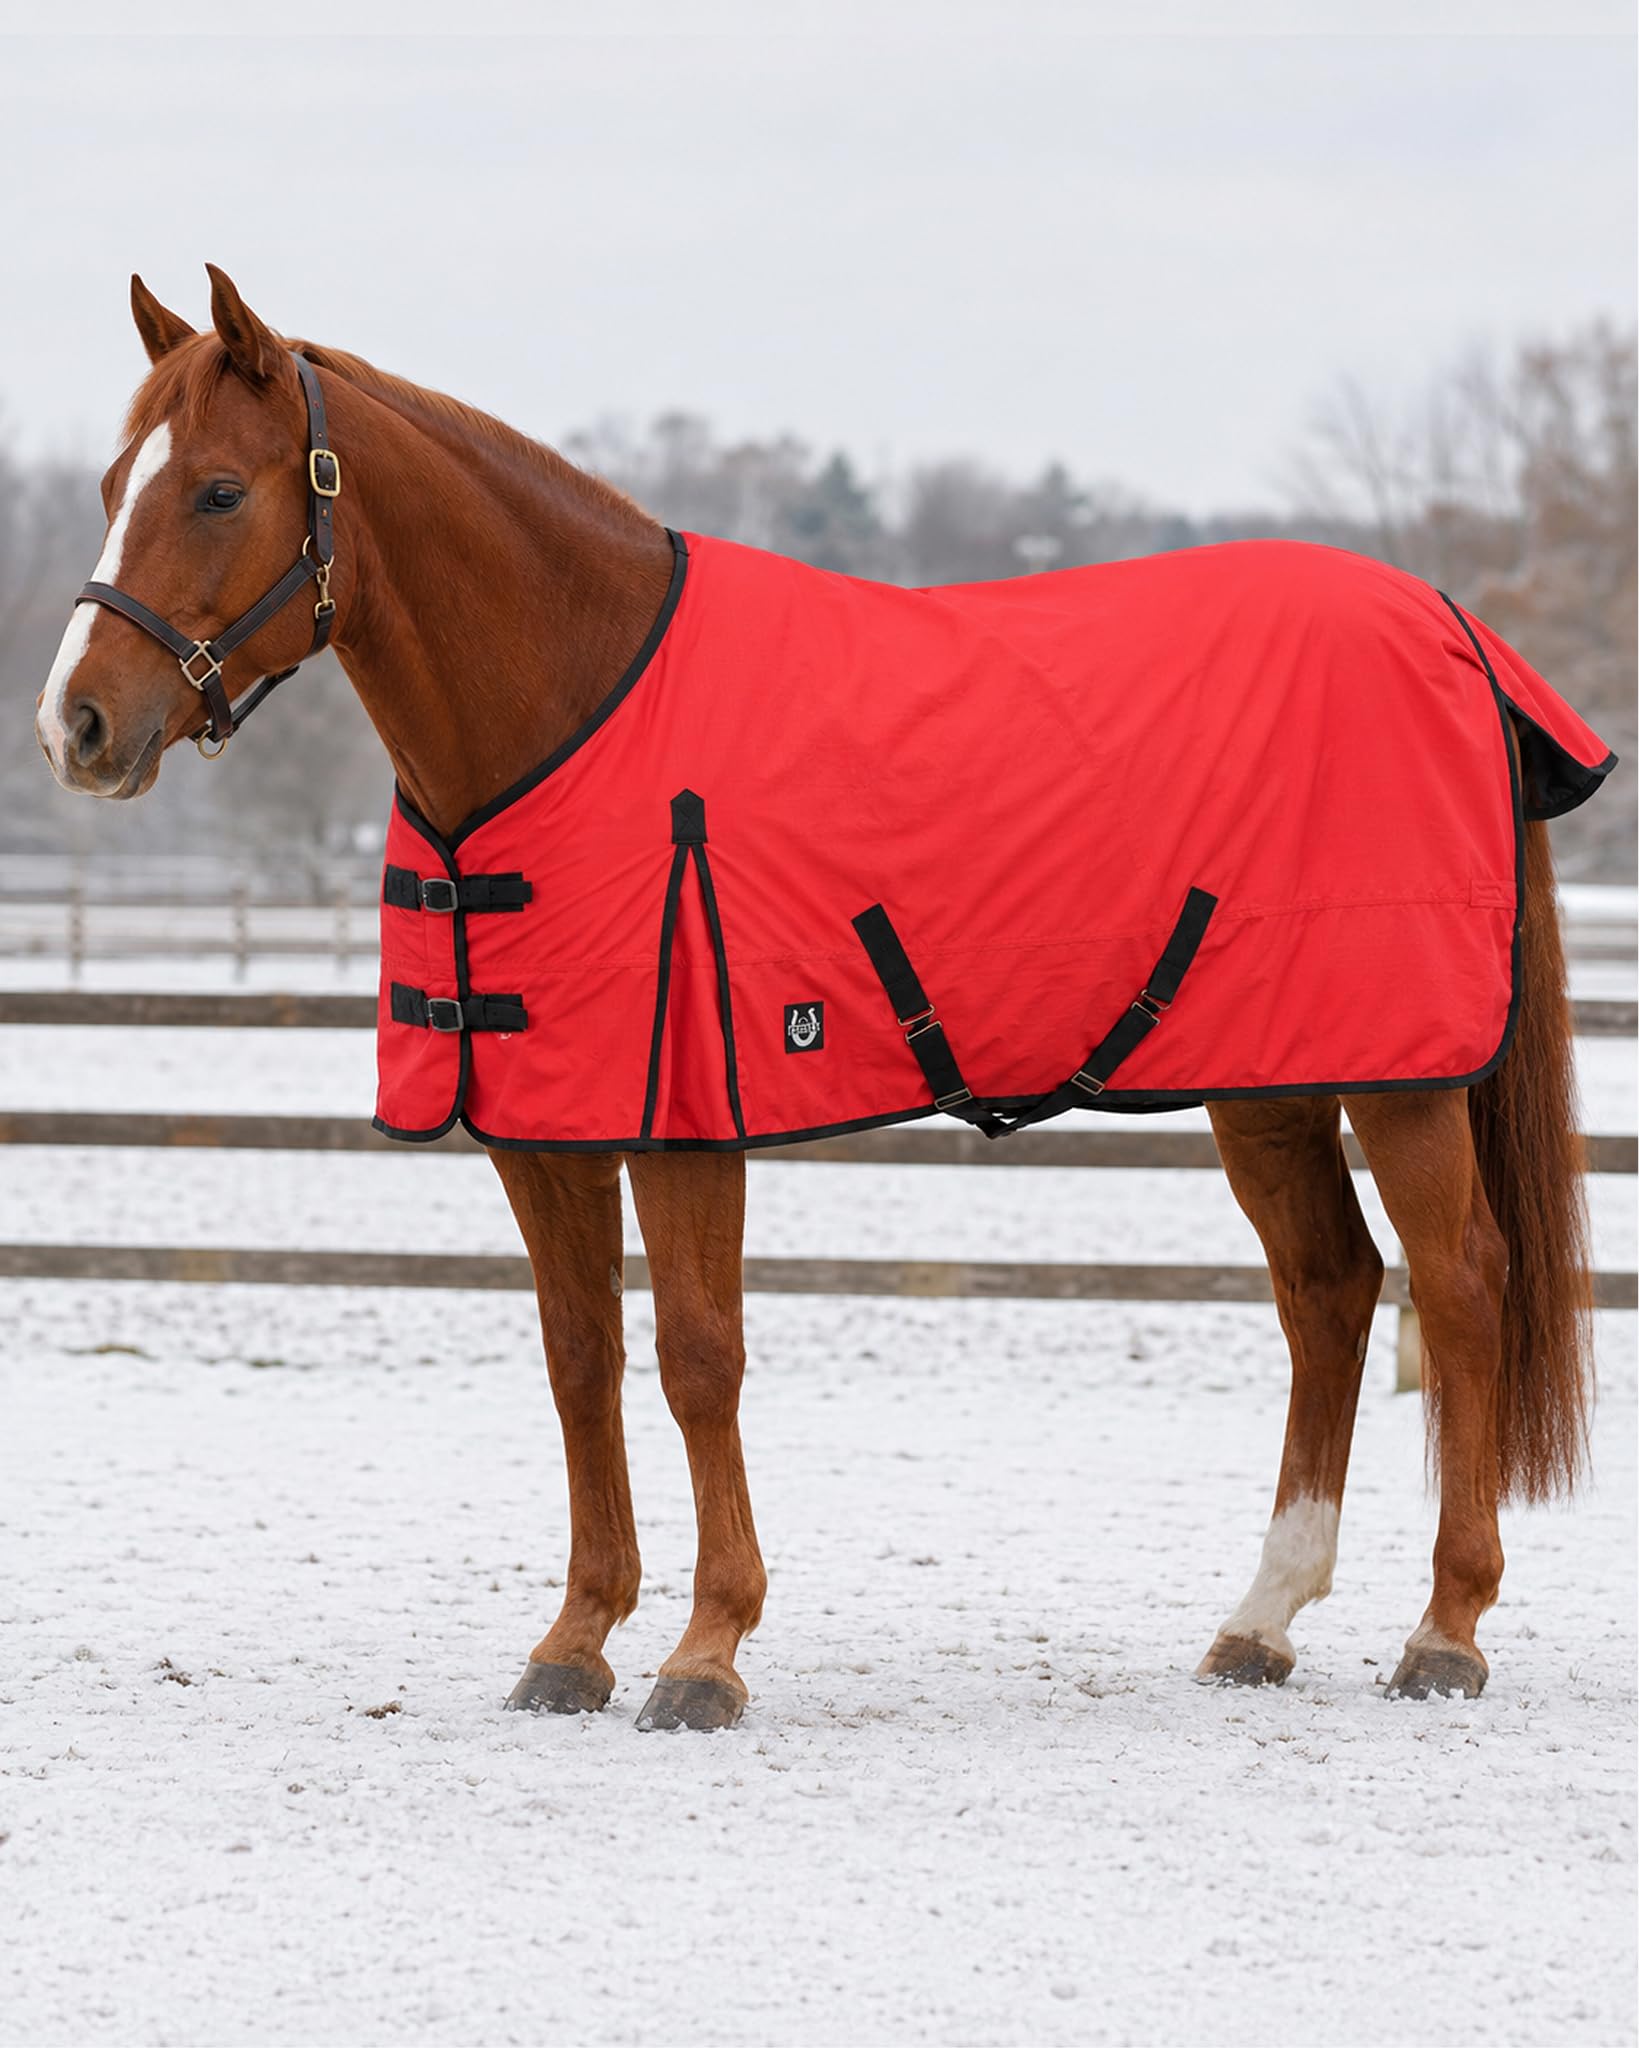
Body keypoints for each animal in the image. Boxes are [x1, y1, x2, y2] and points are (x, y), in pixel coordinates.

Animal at [35, 266, 1599, 1732]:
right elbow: (579, 1360)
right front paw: (574, 1643)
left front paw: (704, 1651)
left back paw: (1443, 1631)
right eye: (111, 489)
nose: (75, 726)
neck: (574, 700)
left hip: (1399, 1077)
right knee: (1326, 1288)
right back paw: (1260, 1620)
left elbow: (696, 1358)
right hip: (1265, 1076)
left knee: (1460, 1282)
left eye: (220, 489)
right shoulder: (542, 1129)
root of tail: (1450, 628)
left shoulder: (685, 1116)